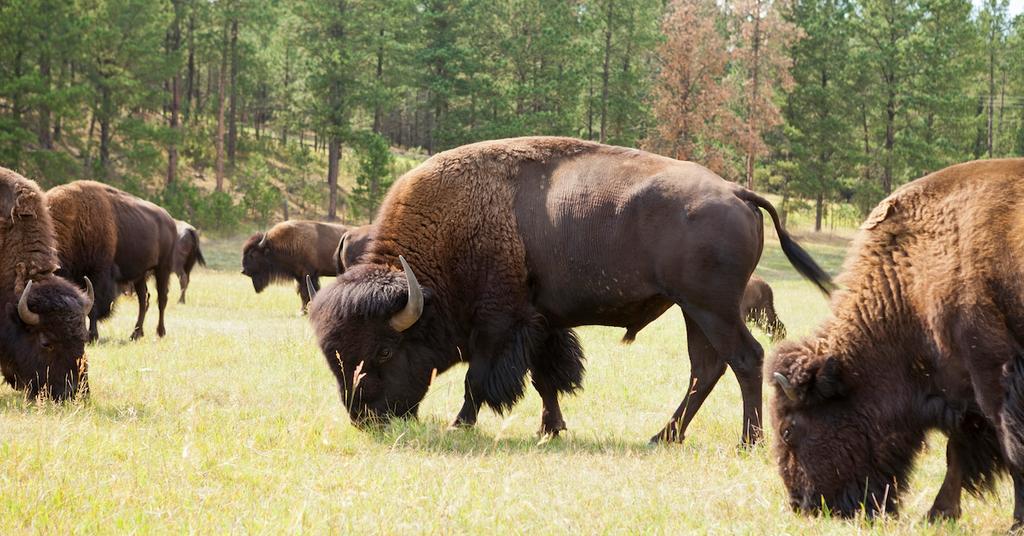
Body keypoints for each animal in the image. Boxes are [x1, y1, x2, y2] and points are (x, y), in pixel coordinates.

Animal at [47, 181, 177, 341]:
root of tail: (170, 220)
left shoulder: (98, 274)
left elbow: (93, 305)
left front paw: (92, 336)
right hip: (140, 275)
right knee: (144, 299)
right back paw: (136, 334)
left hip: (163, 269)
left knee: (162, 299)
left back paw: (160, 333)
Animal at [310, 137, 832, 444]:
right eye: (334, 356)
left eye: (382, 351)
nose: (364, 417)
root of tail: (738, 192)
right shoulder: (542, 322)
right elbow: (546, 378)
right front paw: (552, 428)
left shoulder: (500, 323)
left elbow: (478, 378)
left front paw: (462, 423)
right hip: (693, 310)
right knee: (707, 368)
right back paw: (663, 436)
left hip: (712, 307)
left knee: (745, 359)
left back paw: (748, 440)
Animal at [769, 159, 1024, 528]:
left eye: (789, 430)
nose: (801, 504)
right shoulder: (960, 387)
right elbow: (957, 452)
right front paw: (938, 514)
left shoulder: (993, 373)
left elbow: (1010, 448)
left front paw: (1016, 522)